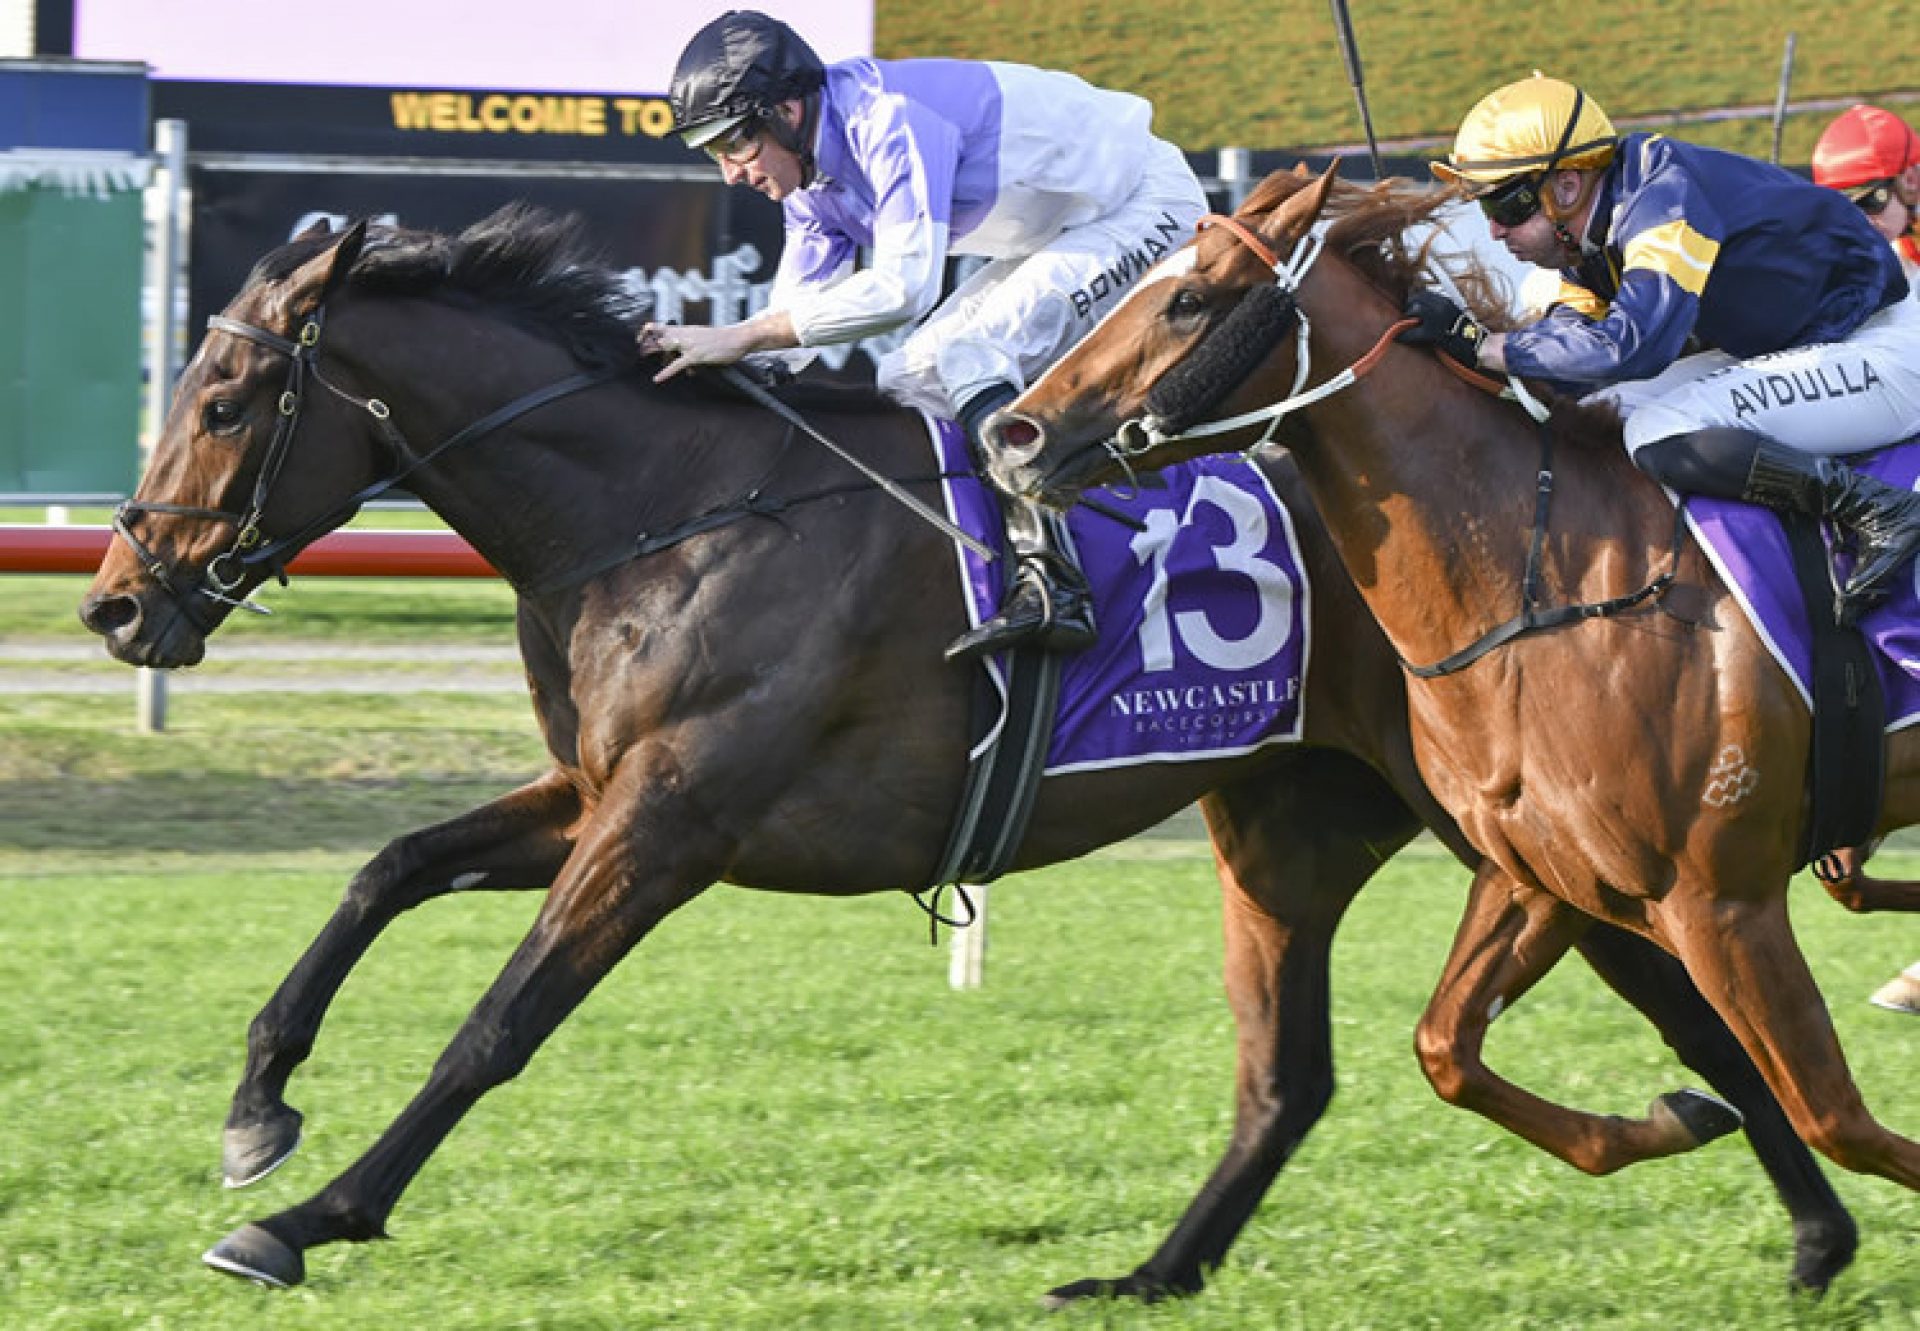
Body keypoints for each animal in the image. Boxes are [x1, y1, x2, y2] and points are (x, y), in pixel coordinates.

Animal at [78, 210, 1858, 1298]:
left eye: (225, 396)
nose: (116, 600)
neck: (671, 510)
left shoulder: (668, 823)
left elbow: (495, 1026)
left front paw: (305, 1215)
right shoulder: (599, 793)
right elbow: (386, 868)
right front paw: (258, 1104)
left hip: (1501, 810)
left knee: (1683, 987)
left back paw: (1805, 1205)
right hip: (1308, 810)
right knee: (1323, 1068)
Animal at [998, 169, 1920, 1206]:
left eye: (1189, 299)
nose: (1011, 433)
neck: (1551, 579)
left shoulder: (1722, 902)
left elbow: (1836, 1118)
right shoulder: (1544, 872)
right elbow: (1444, 1046)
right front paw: (1674, 1114)